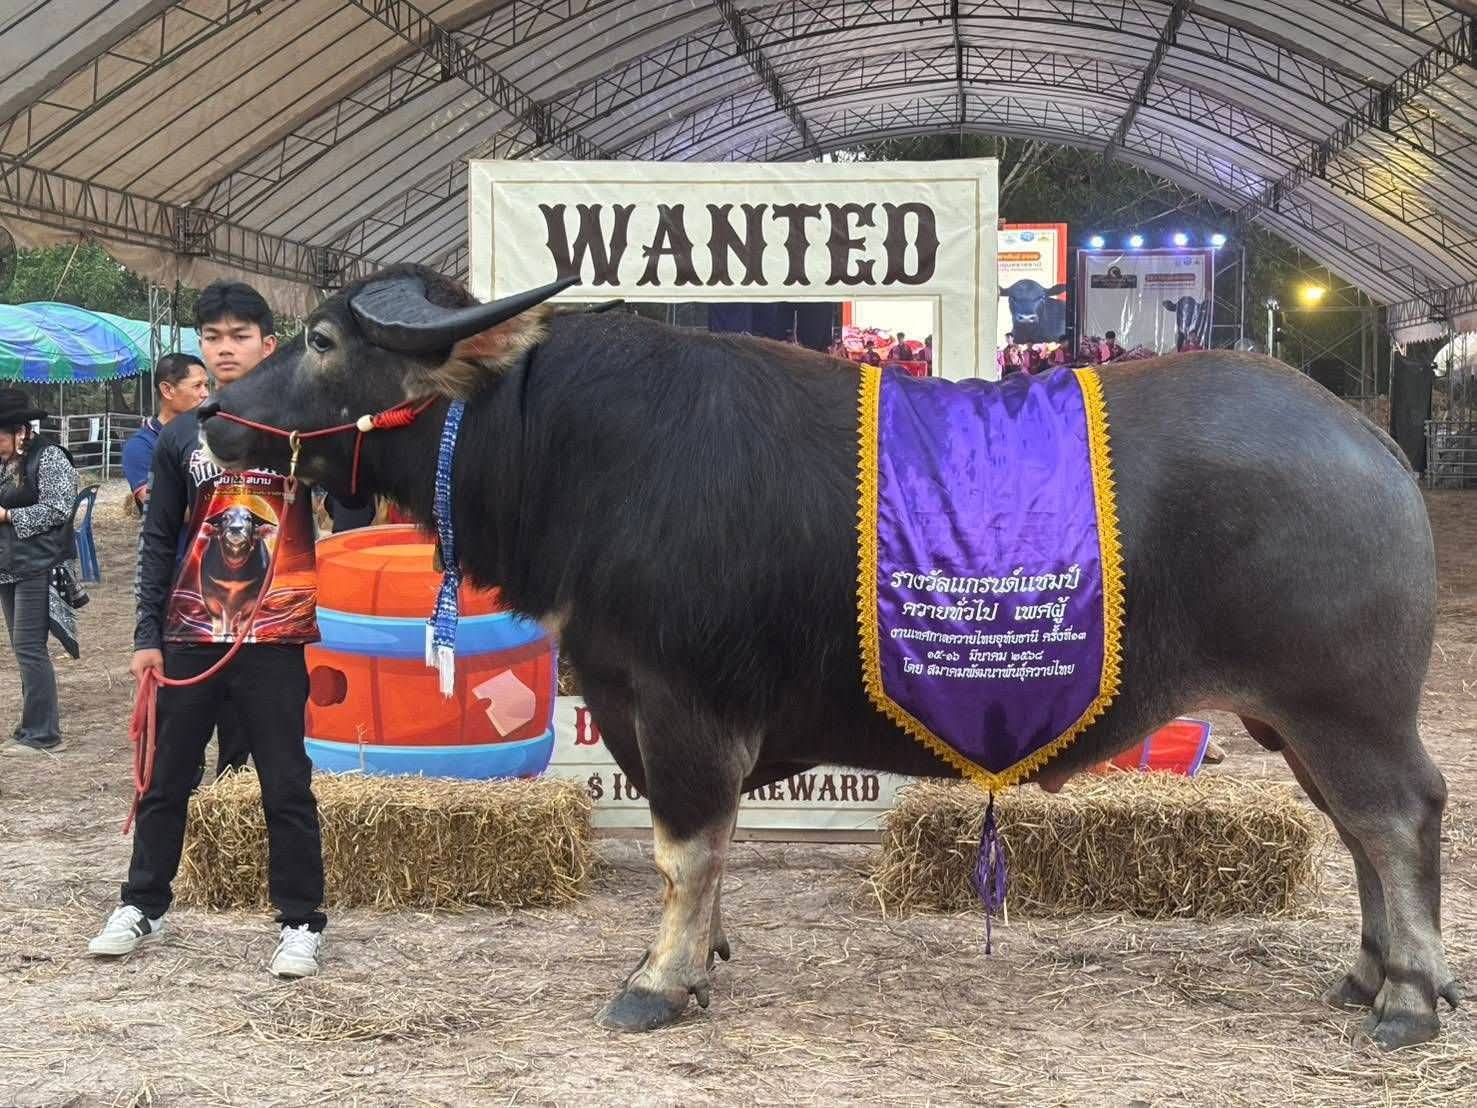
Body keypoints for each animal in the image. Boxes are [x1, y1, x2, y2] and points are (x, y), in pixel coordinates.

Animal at [201, 265, 1460, 1048]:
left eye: (323, 341)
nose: (211, 412)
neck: (571, 446)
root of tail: (1369, 442)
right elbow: (703, 861)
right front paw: (702, 960)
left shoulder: (682, 710)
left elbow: (684, 853)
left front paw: (657, 981)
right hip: (1291, 721)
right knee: (1358, 831)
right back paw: (1363, 974)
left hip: (1344, 708)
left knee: (1397, 818)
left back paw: (1408, 998)